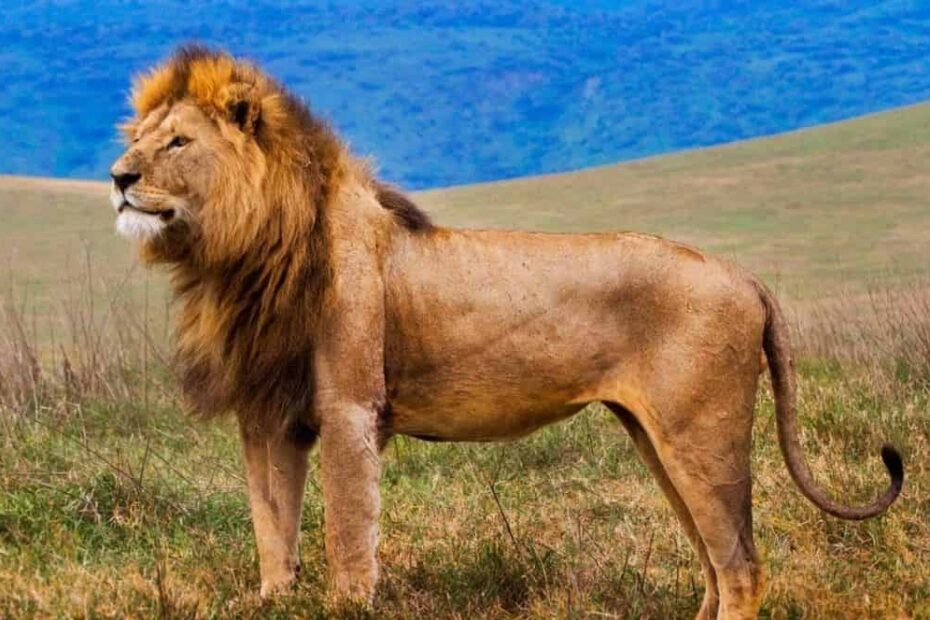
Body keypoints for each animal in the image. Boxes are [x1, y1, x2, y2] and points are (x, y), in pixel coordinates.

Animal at [108, 46, 903, 619]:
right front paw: (272, 599)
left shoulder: (350, 407)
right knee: (714, 565)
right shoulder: (267, 411)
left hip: (700, 432)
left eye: (176, 143)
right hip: (659, 439)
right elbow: (272, 525)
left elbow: (346, 530)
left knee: (741, 569)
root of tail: (744, 275)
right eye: (139, 140)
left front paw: (344, 603)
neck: (241, 255)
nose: (117, 177)